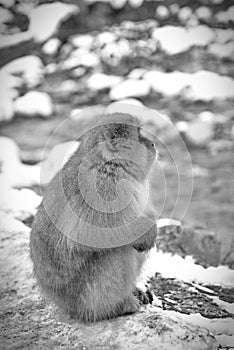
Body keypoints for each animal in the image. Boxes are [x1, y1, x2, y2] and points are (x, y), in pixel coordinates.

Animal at [29, 112, 157, 322]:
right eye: (139, 135)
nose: (153, 143)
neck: (110, 164)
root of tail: (63, 304)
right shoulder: (103, 188)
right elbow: (86, 234)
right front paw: (149, 232)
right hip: (87, 296)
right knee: (119, 250)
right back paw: (116, 306)